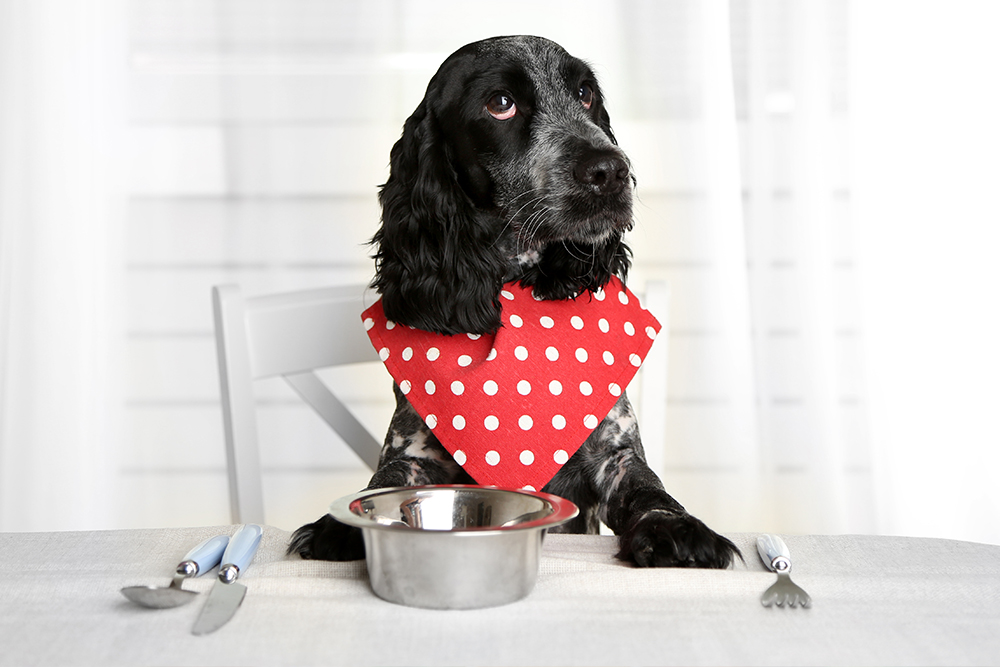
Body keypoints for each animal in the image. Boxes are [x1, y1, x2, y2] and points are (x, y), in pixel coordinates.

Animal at [292, 35, 744, 568]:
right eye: (501, 103)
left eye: (585, 94)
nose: (611, 169)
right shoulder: (413, 453)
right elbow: (380, 486)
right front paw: (337, 527)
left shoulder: (614, 453)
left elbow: (650, 490)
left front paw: (677, 529)